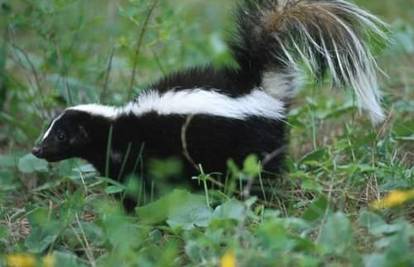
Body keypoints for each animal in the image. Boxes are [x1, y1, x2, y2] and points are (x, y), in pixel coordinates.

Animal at [32, 0, 388, 184]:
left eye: (61, 136)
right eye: (48, 130)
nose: (36, 150)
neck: (116, 125)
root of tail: (261, 86)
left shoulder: (147, 152)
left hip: (249, 142)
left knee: (260, 170)